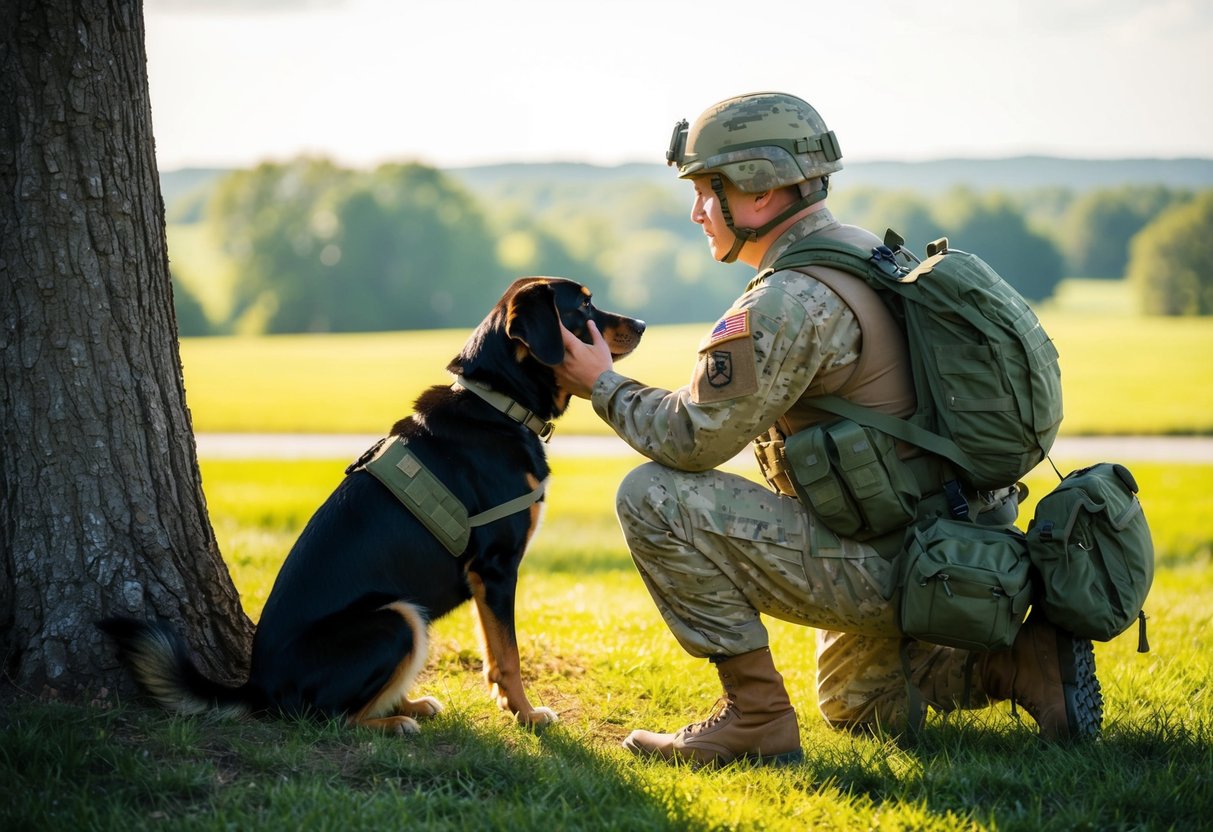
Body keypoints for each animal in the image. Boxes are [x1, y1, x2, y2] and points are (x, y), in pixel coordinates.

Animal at [98, 278, 645, 737]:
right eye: (584, 306)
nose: (641, 324)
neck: (499, 405)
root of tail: (257, 688)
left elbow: (495, 652)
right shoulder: (494, 570)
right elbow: (506, 658)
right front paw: (527, 715)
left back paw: (409, 705)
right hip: (396, 618)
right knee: (326, 718)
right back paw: (394, 722)